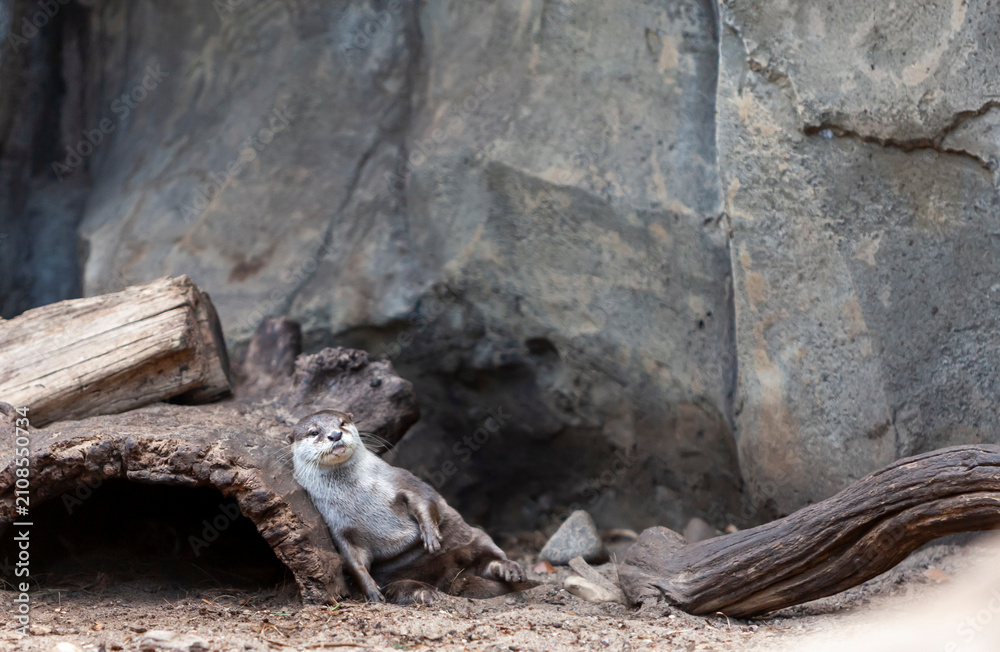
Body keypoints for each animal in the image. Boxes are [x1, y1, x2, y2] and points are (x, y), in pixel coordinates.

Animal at [290, 409, 527, 604]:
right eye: (314, 432)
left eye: (342, 423)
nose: (335, 435)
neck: (357, 496)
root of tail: (451, 574)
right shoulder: (337, 528)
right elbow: (352, 561)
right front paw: (371, 591)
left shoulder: (401, 480)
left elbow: (424, 498)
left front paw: (430, 536)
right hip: (395, 576)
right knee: (401, 586)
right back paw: (423, 592)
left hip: (474, 537)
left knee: (488, 557)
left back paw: (508, 569)